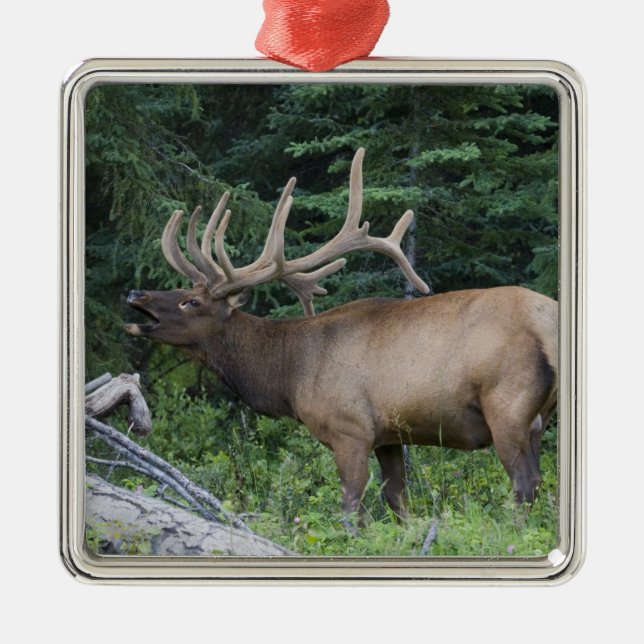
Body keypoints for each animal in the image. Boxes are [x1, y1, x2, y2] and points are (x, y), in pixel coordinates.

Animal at [125, 148, 558, 528]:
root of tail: (548, 320)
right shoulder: (388, 434)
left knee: (525, 482)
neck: (290, 374)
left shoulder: (349, 427)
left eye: (191, 301)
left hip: (507, 403)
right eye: (181, 290)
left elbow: (351, 507)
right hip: (539, 416)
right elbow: (397, 499)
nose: (134, 294)